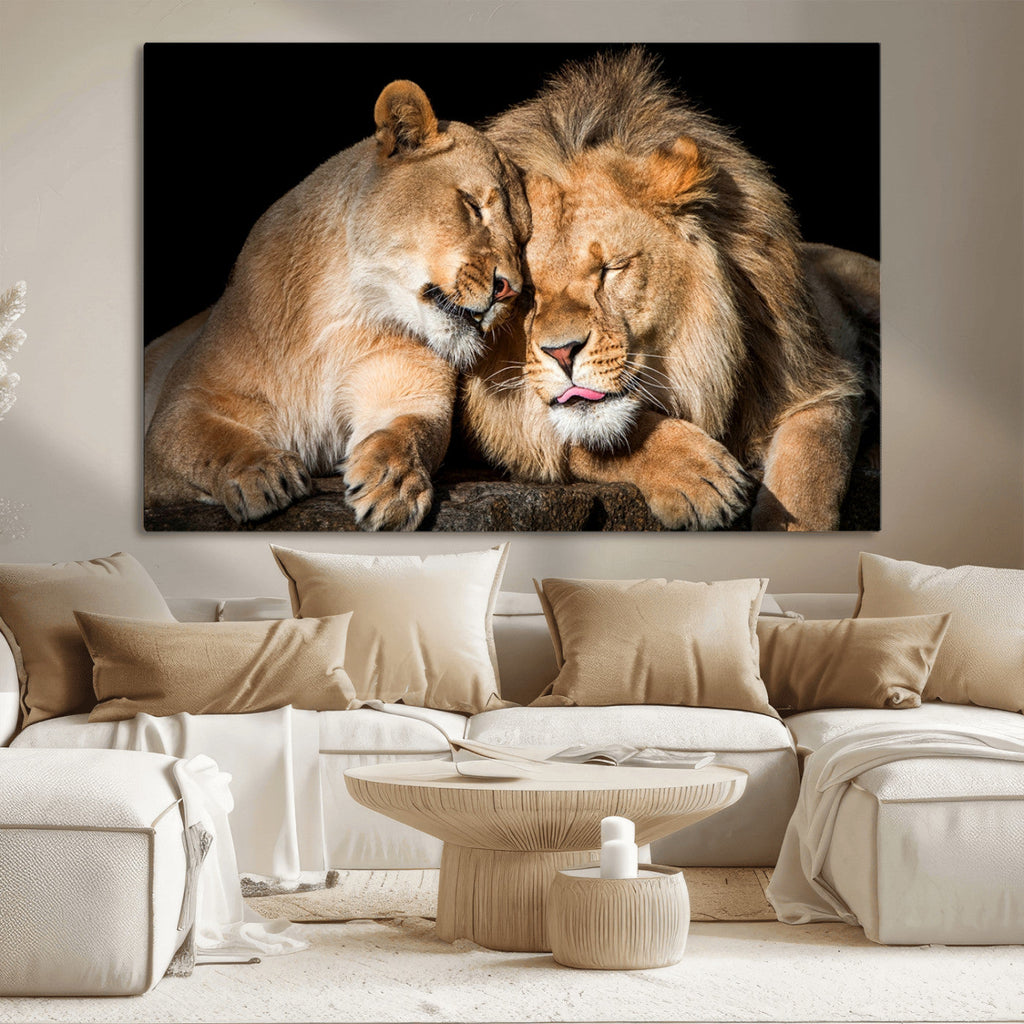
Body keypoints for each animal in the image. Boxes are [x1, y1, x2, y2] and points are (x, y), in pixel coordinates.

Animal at [144, 80, 529, 528]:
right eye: (471, 205)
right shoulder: (181, 406)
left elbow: (409, 433)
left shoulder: (410, 391)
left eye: (523, 240)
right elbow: (209, 439)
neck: (343, 311)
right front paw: (261, 472)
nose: (509, 289)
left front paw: (394, 483)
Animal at [460, 49, 877, 531]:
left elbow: (809, 471)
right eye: (525, 291)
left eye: (611, 269)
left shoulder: (819, 379)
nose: (562, 353)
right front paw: (698, 475)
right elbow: (593, 434)